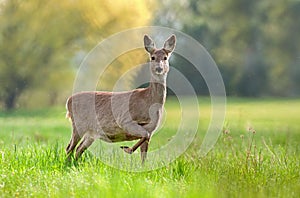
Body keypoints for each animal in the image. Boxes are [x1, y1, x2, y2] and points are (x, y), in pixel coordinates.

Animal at [64, 34, 175, 164]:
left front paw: (140, 164)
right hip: (78, 124)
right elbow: (145, 135)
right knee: (69, 148)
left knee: (79, 149)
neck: (149, 101)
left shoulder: (151, 129)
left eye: (165, 57)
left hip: (90, 133)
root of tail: (68, 101)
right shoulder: (125, 120)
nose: (159, 68)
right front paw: (127, 149)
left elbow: (144, 153)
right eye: (152, 57)